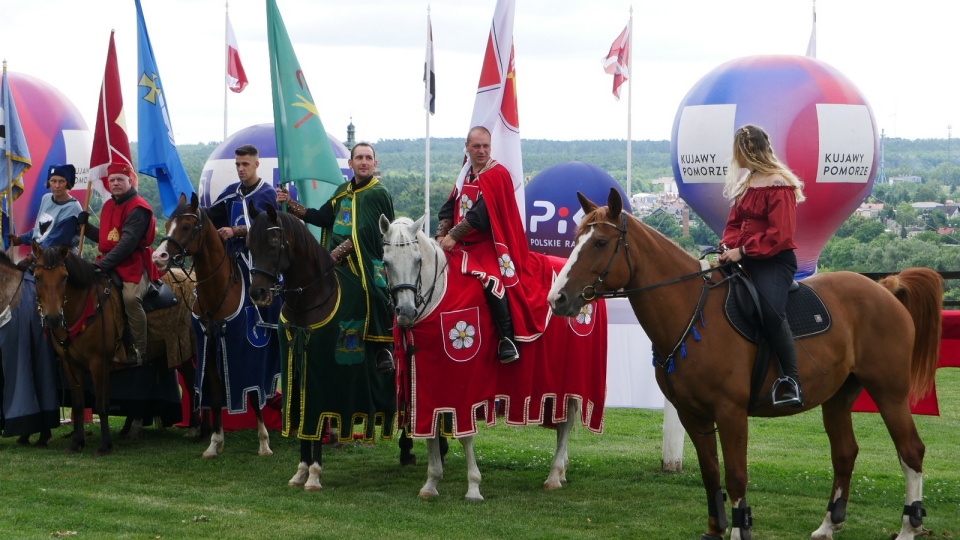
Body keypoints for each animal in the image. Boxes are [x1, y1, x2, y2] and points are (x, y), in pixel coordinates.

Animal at [154, 192, 280, 458]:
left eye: (187, 226)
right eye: (168, 223)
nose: (158, 257)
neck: (218, 291)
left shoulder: (247, 355)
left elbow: (254, 397)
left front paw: (264, 443)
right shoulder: (209, 348)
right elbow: (213, 394)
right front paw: (214, 443)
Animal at [378, 213, 604, 500]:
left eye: (418, 260)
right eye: (386, 262)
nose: (405, 311)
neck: (438, 297)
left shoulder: (465, 383)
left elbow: (465, 435)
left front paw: (473, 486)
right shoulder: (423, 379)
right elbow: (430, 430)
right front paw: (431, 483)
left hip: (572, 376)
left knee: (565, 424)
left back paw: (553, 476)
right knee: (564, 417)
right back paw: (561, 471)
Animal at [544, 190, 940, 540]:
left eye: (599, 243)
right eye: (576, 239)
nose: (557, 299)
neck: (693, 311)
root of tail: (885, 289)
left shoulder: (730, 413)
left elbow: (735, 474)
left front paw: (739, 529)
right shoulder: (693, 415)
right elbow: (711, 473)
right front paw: (715, 529)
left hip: (889, 393)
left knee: (911, 451)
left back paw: (909, 527)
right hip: (839, 397)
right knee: (845, 453)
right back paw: (829, 525)